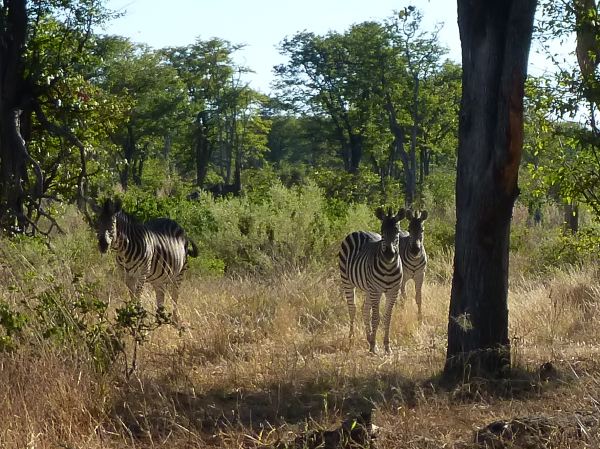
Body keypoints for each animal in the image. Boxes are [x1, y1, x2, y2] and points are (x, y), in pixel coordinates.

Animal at [340, 206, 406, 354]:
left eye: (397, 231)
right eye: (382, 231)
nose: (389, 254)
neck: (388, 268)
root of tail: (358, 231)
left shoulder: (393, 292)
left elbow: (387, 318)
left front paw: (386, 346)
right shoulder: (376, 290)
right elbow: (375, 317)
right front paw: (374, 346)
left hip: (368, 287)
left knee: (364, 309)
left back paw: (369, 338)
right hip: (347, 281)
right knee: (352, 309)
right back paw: (351, 339)